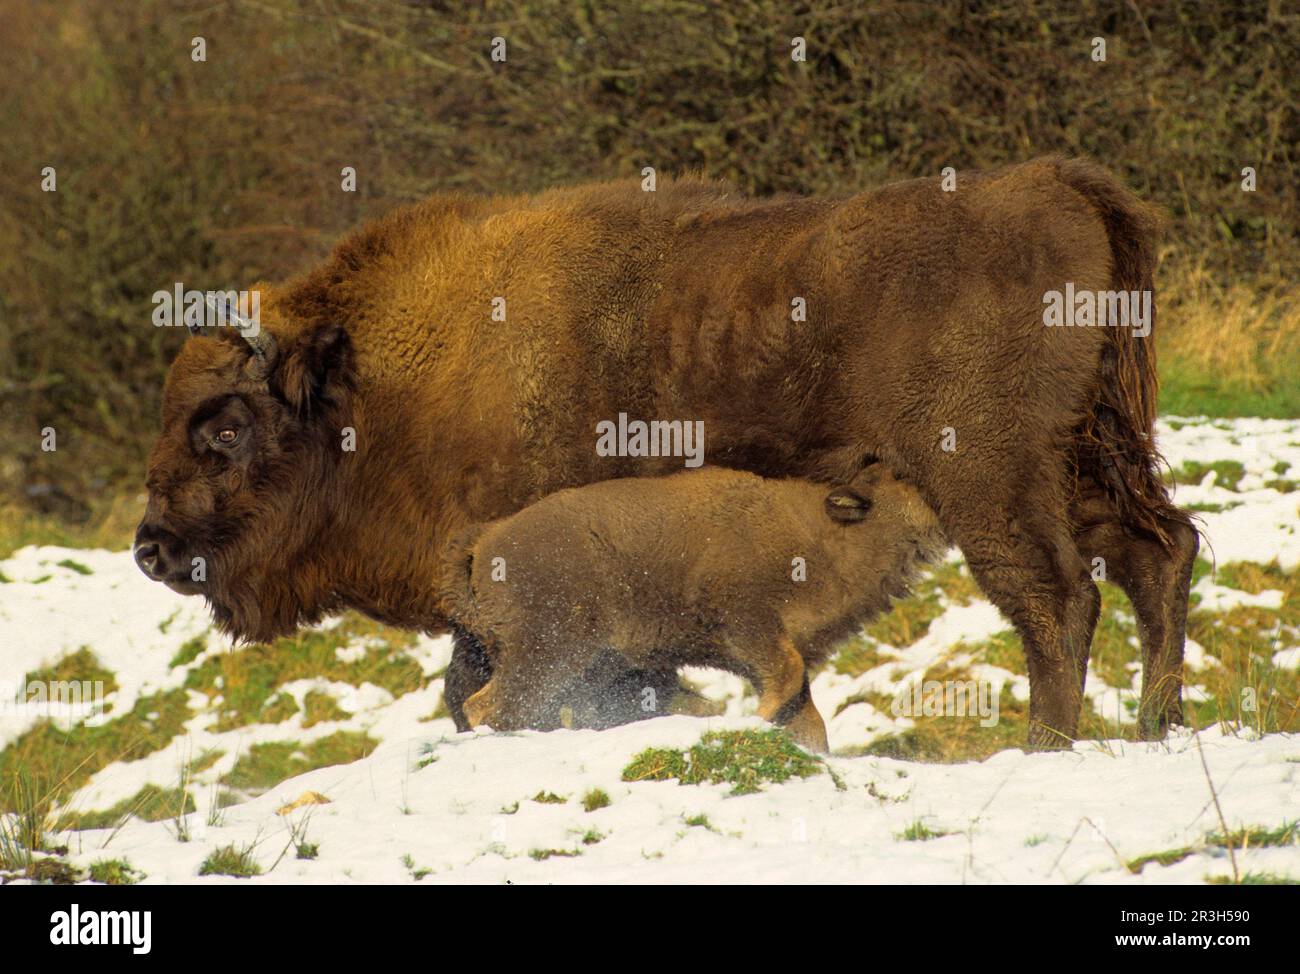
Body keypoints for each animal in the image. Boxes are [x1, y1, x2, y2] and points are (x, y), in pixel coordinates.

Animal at [439, 465, 946, 754]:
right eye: (906, 487)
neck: (824, 532)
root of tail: (485, 542)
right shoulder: (751, 624)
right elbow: (785, 680)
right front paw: (751, 720)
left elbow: (806, 712)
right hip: (549, 652)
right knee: (491, 705)